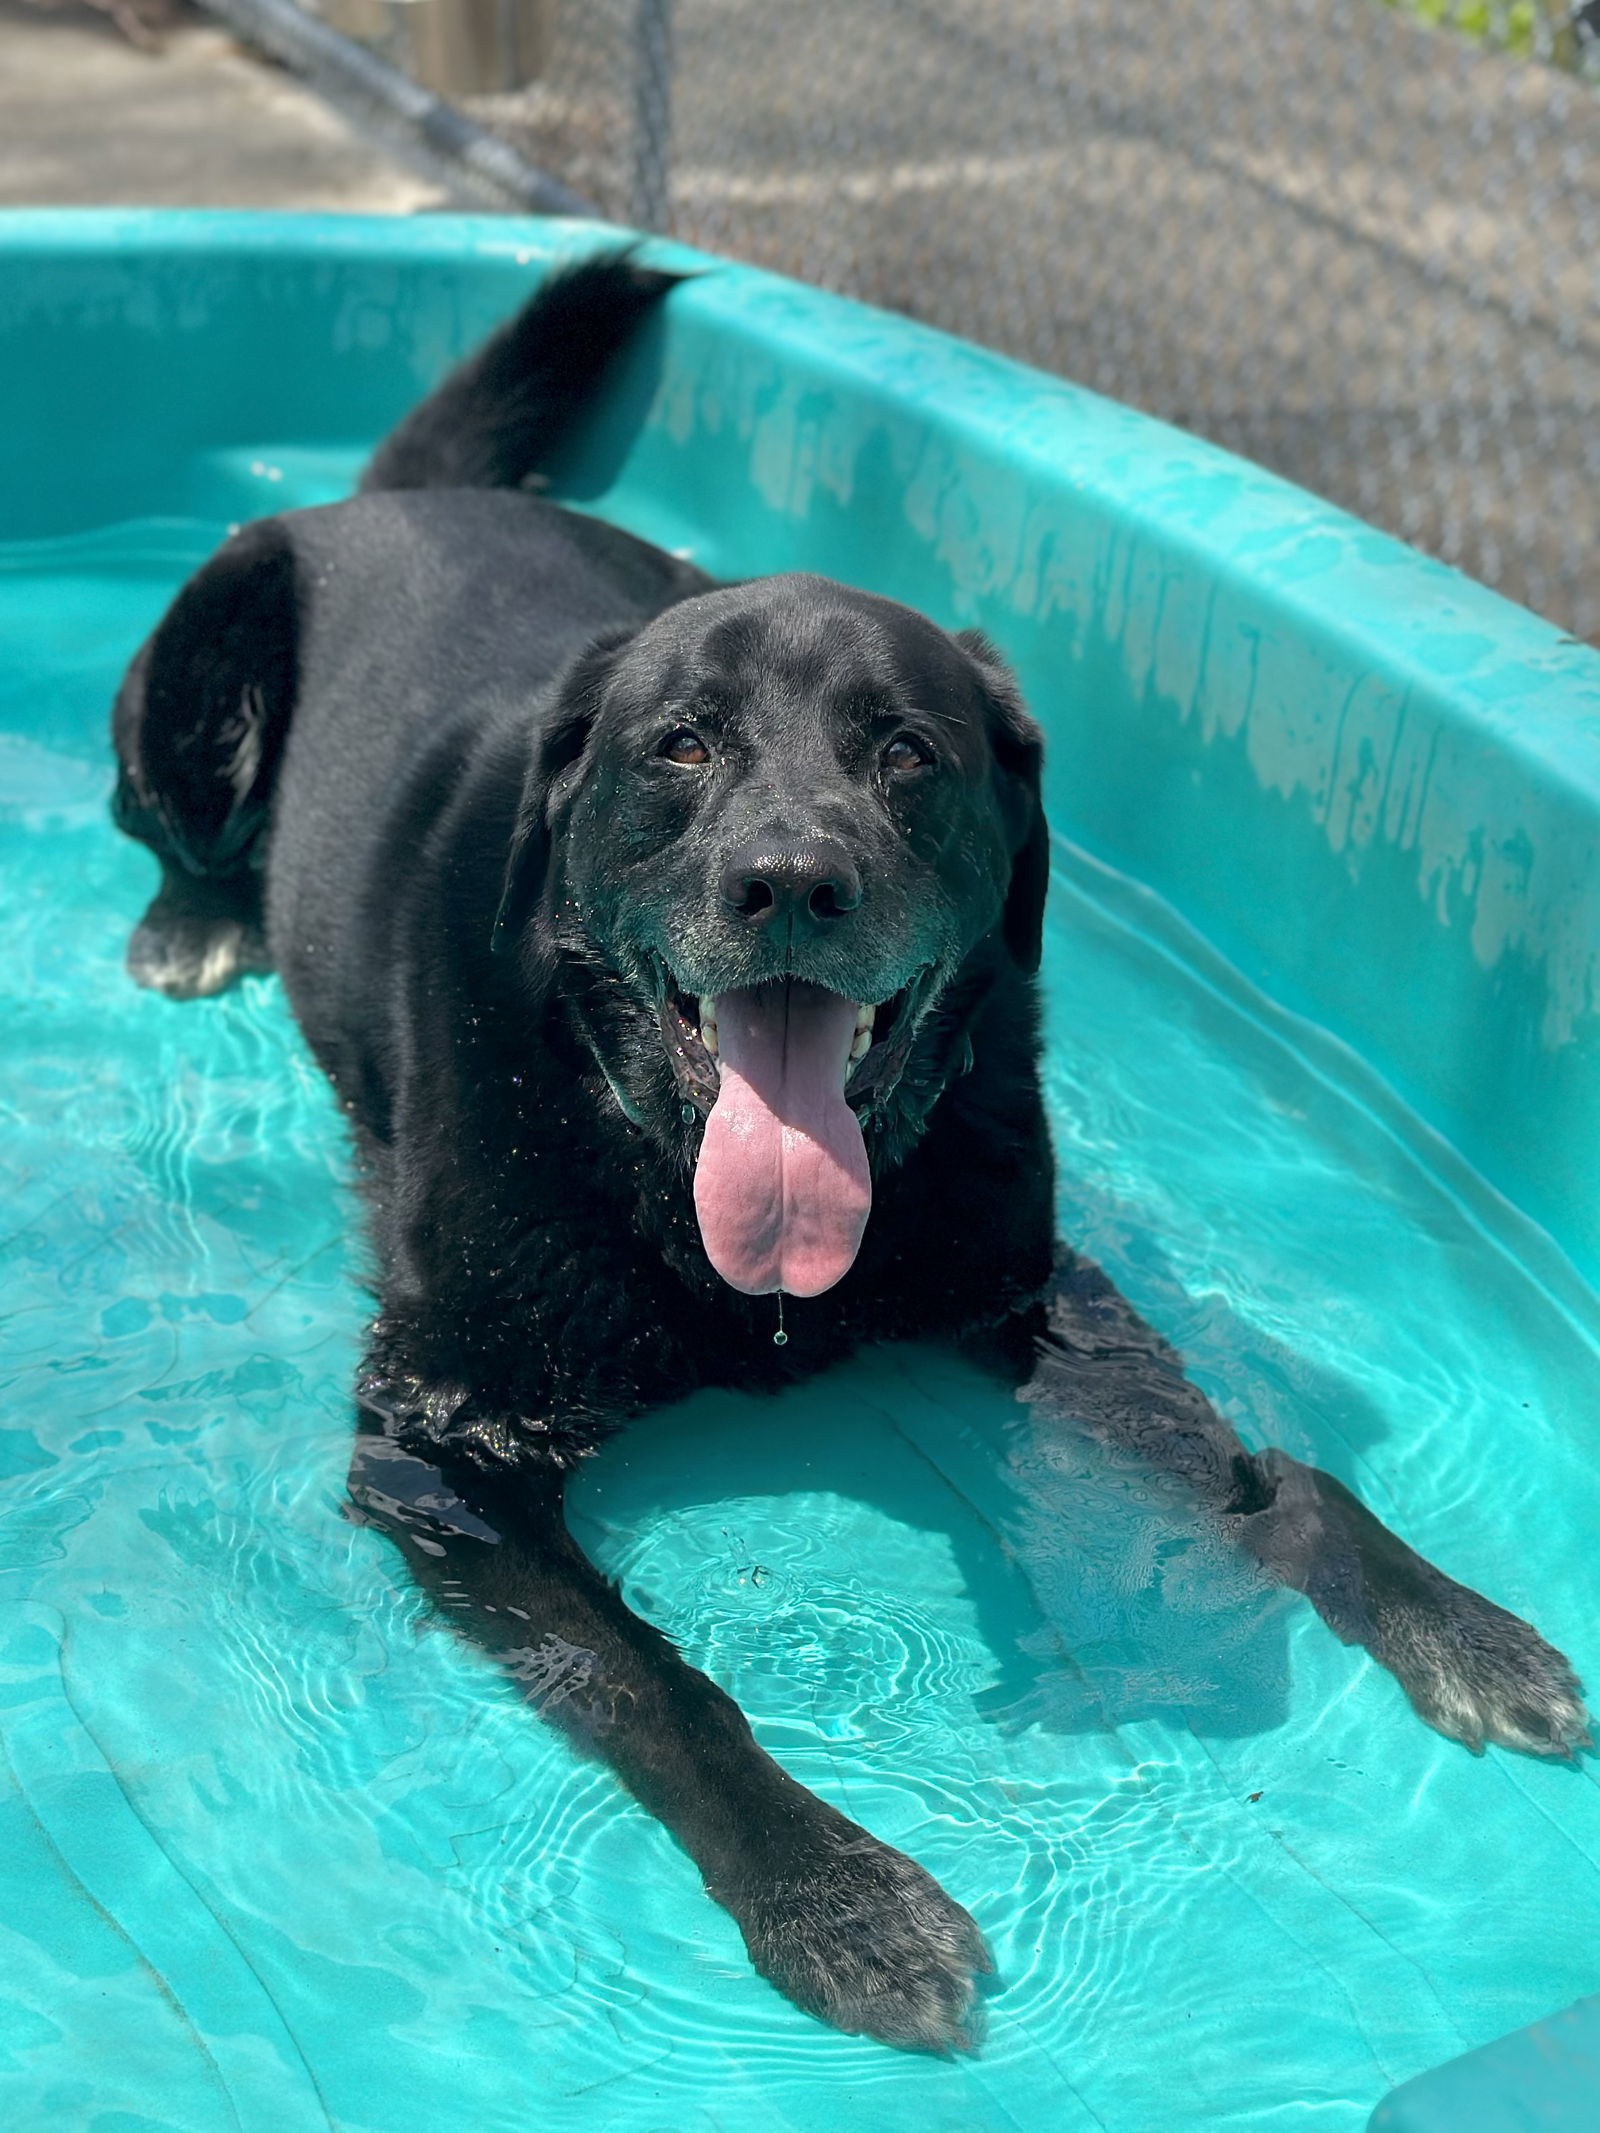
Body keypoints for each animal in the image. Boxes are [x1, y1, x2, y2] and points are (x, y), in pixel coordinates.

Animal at [113, 249, 1595, 2047]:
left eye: (909, 751)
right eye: (681, 745)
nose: (791, 881)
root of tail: (400, 498)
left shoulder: (1025, 1293)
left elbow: (1267, 1475)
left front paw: (1451, 1618)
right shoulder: (436, 1445)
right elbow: (654, 1684)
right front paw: (833, 1890)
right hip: (202, 652)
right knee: (175, 821)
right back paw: (196, 917)